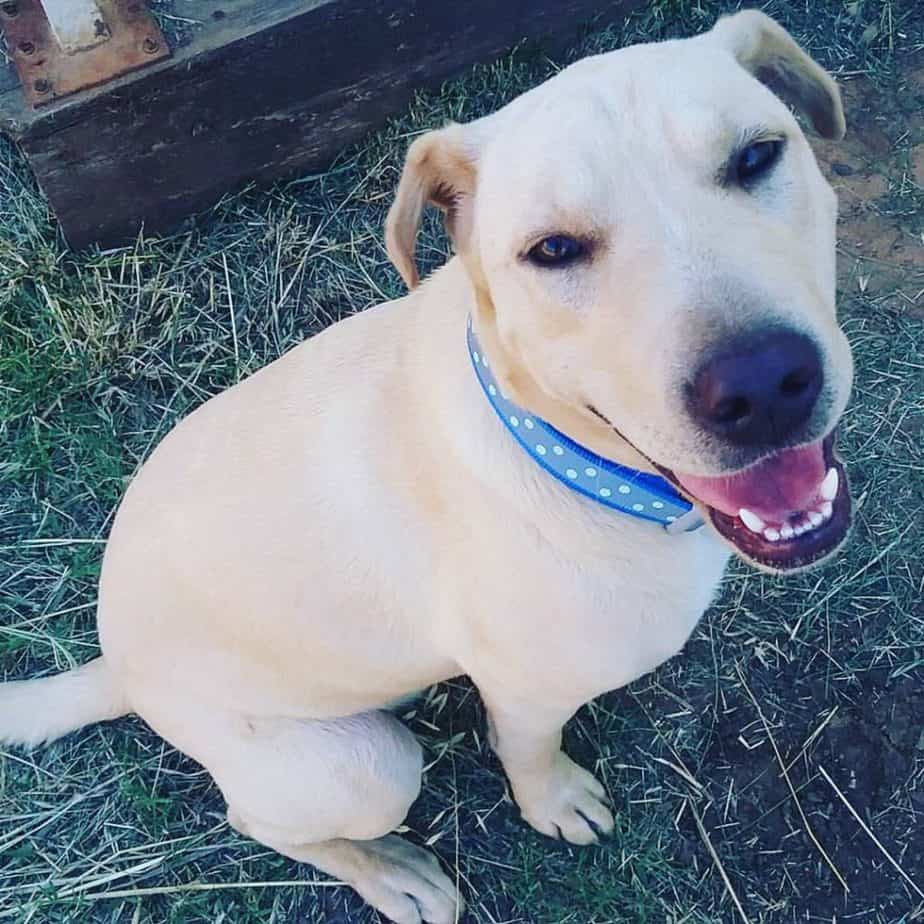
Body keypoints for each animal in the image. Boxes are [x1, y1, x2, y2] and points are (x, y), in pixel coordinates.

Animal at [0, 12, 852, 924]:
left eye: (756, 156)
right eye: (553, 249)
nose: (762, 386)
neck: (564, 454)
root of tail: (117, 667)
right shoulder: (523, 694)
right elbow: (529, 752)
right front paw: (553, 802)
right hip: (364, 766)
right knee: (259, 819)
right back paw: (393, 874)